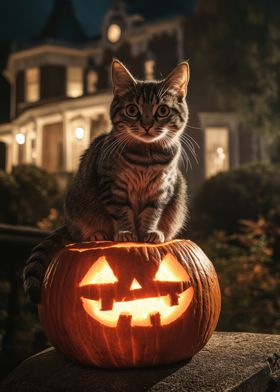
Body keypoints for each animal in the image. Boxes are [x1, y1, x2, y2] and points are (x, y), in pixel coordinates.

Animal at [23, 59, 190, 304]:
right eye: (132, 110)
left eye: (162, 110)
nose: (147, 125)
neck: (146, 157)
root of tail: (67, 223)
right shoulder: (112, 187)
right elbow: (122, 213)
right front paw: (127, 234)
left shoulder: (161, 189)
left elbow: (151, 213)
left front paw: (148, 233)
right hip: (76, 206)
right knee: (80, 232)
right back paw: (97, 234)